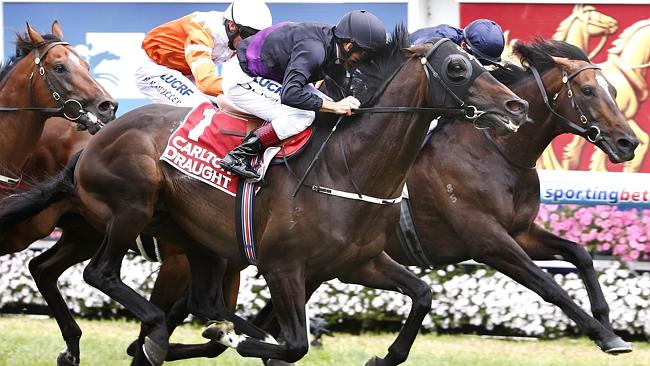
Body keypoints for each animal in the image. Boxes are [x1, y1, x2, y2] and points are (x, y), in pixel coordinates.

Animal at [0, 29, 528, 366]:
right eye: (457, 68)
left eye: (486, 66)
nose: (517, 105)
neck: (348, 166)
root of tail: (92, 141)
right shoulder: (283, 267)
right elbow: (293, 345)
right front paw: (243, 341)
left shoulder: (360, 262)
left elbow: (421, 294)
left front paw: (384, 357)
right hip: (132, 206)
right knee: (102, 274)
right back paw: (157, 335)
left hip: (188, 238)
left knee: (192, 298)